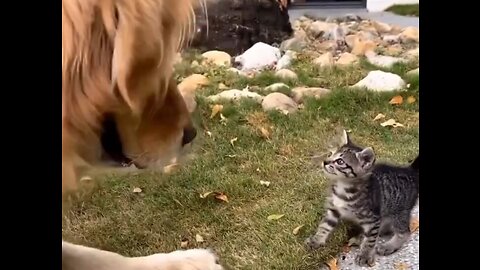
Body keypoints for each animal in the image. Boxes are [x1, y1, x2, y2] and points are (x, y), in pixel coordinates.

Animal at [306, 130, 418, 266]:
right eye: (330, 154)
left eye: (340, 162)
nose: (325, 162)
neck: (343, 188)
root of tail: (410, 171)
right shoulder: (334, 210)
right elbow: (324, 226)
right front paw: (316, 240)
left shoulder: (372, 218)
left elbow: (370, 240)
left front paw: (365, 255)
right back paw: (360, 238)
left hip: (399, 211)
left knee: (404, 232)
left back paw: (388, 246)